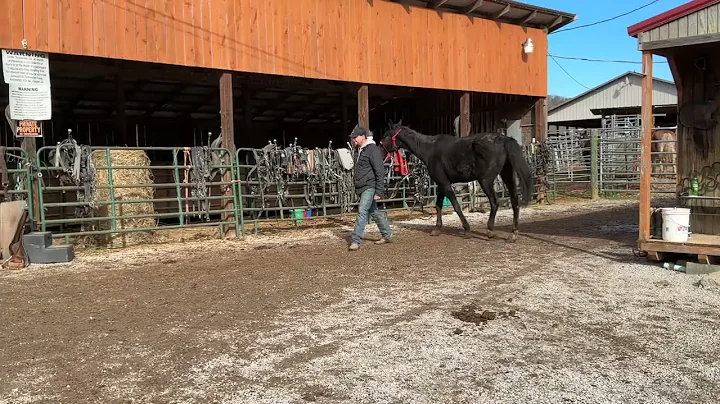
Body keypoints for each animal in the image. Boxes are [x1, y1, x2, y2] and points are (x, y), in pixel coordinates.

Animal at [378, 121, 534, 242]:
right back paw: (513, 234)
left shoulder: (445, 184)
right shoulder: (441, 184)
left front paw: (467, 230)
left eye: (386, 136)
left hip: (486, 181)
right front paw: (437, 228)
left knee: (495, 203)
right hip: (507, 176)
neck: (430, 150)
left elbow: (456, 206)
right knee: (514, 201)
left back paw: (490, 231)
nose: (380, 151)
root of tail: (503, 139)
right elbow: (438, 205)